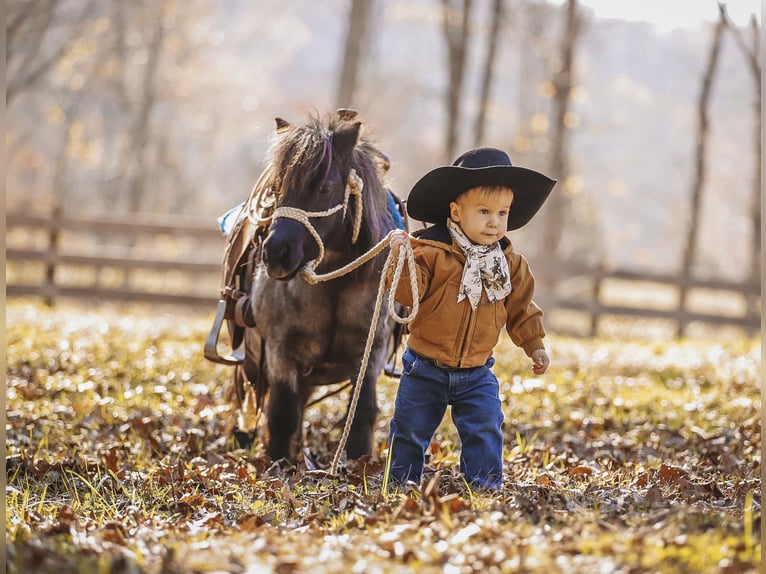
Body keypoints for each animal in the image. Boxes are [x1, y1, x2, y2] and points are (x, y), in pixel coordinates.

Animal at [207, 110, 404, 466]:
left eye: (325, 187)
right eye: (277, 187)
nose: (275, 254)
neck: (335, 286)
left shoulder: (370, 353)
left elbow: (362, 412)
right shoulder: (281, 352)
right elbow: (282, 414)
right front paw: (280, 463)